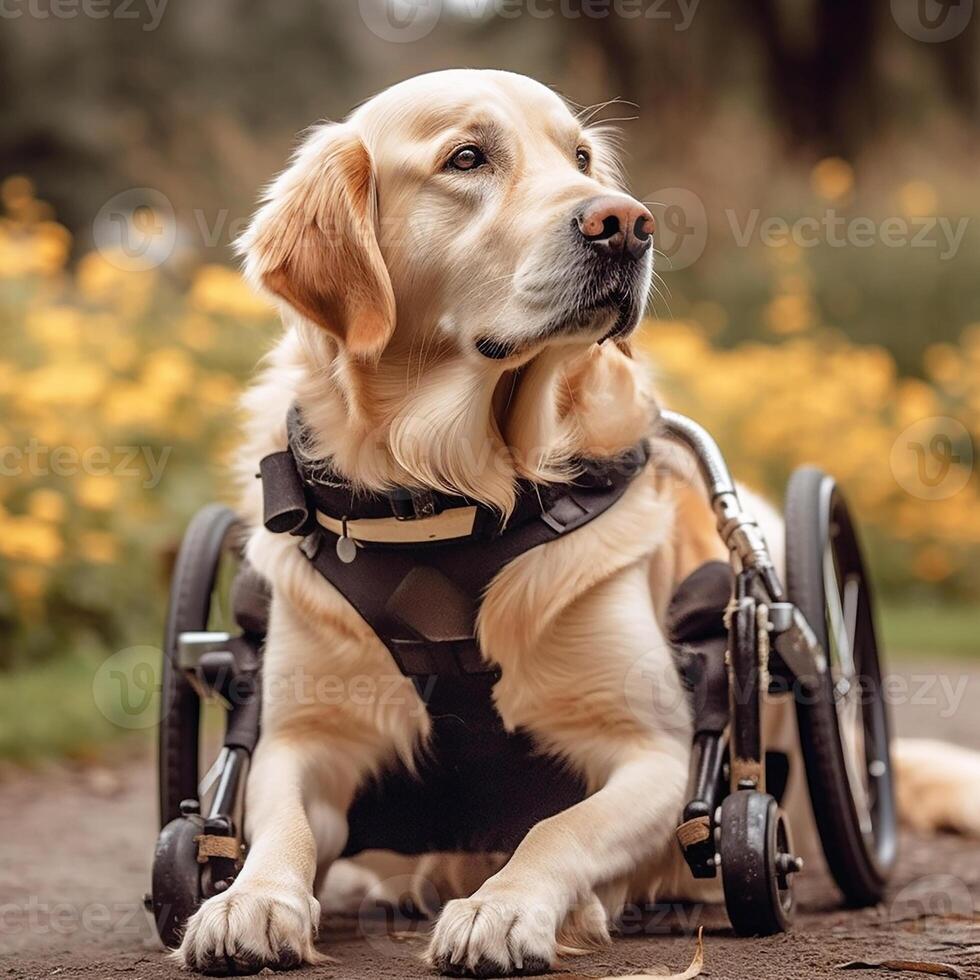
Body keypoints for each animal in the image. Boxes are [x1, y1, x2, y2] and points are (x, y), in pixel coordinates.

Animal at [176, 67, 980, 972]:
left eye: (583, 157)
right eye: (467, 157)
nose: (626, 222)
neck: (452, 491)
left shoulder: (657, 754)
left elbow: (558, 827)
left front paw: (504, 908)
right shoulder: (300, 738)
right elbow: (275, 822)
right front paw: (249, 901)